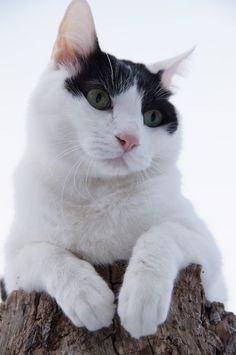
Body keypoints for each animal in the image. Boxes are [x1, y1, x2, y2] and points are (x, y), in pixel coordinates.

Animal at [3, 0, 225, 340]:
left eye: (151, 117)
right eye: (98, 98)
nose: (130, 139)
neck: (98, 192)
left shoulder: (209, 255)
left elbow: (163, 233)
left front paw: (142, 297)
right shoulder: (13, 268)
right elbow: (44, 253)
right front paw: (87, 295)